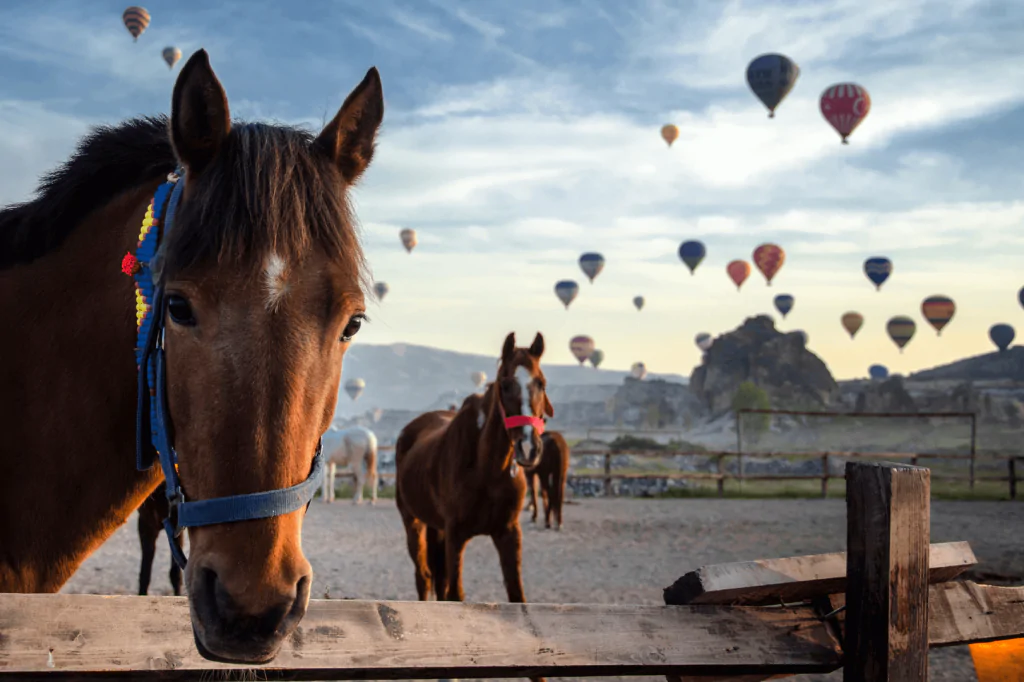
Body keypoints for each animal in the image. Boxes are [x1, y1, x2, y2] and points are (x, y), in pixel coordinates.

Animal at [393, 329, 552, 679]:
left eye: (541, 382)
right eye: (505, 384)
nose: (529, 448)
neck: (486, 467)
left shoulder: (508, 533)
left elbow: (518, 598)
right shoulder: (457, 535)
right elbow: (456, 595)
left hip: (437, 529)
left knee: (437, 579)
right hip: (414, 523)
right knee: (425, 577)